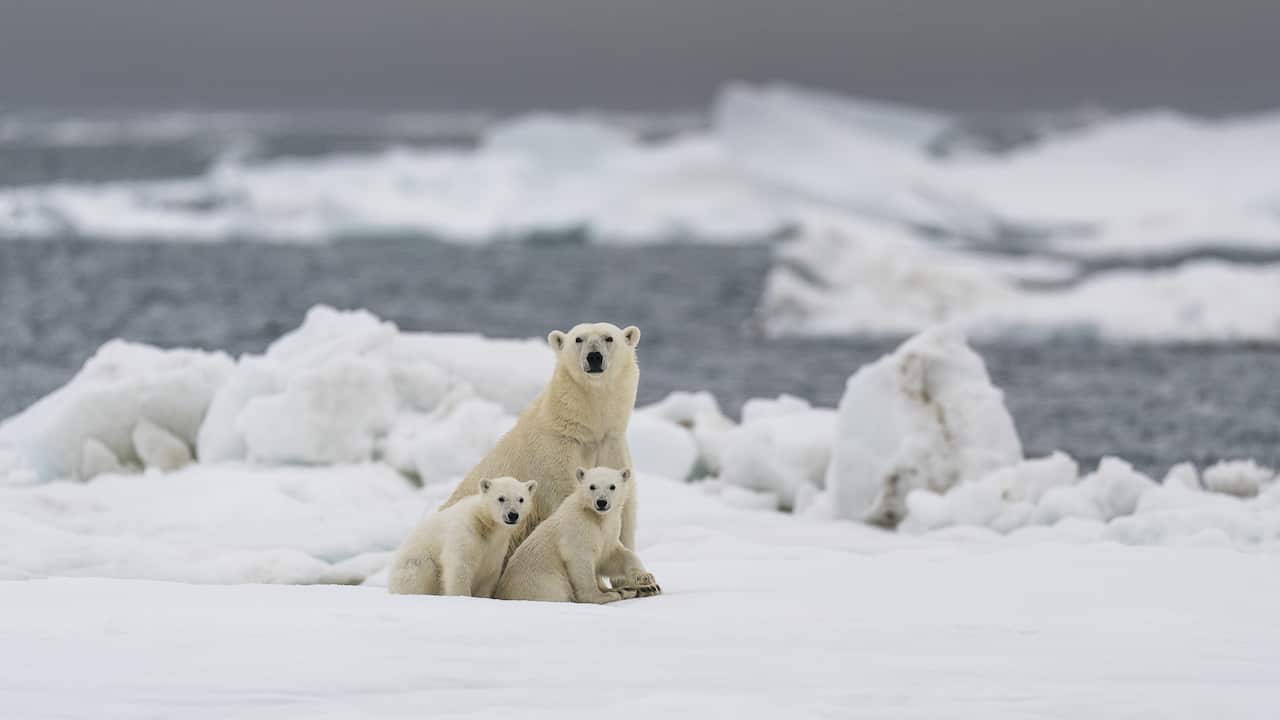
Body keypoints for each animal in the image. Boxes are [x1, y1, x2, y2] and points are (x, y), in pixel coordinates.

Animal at [388, 476, 537, 597]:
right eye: (501, 498)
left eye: (521, 499)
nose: (513, 515)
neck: (484, 524)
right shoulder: (464, 532)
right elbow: (459, 566)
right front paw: (462, 596)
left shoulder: (496, 549)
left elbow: (488, 575)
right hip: (415, 563)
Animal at [440, 322, 654, 592]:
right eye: (578, 339)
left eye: (609, 338)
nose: (594, 357)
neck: (584, 429)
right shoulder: (556, 455)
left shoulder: (611, 445)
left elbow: (624, 511)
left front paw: (642, 581)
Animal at [495, 467, 659, 604]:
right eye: (592, 486)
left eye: (612, 486)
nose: (601, 502)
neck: (597, 518)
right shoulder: (578, 528)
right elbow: (580, 561)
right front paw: (602, 596)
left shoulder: (609, 531)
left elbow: (613, 555)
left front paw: (646, 578)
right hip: (540, 582)